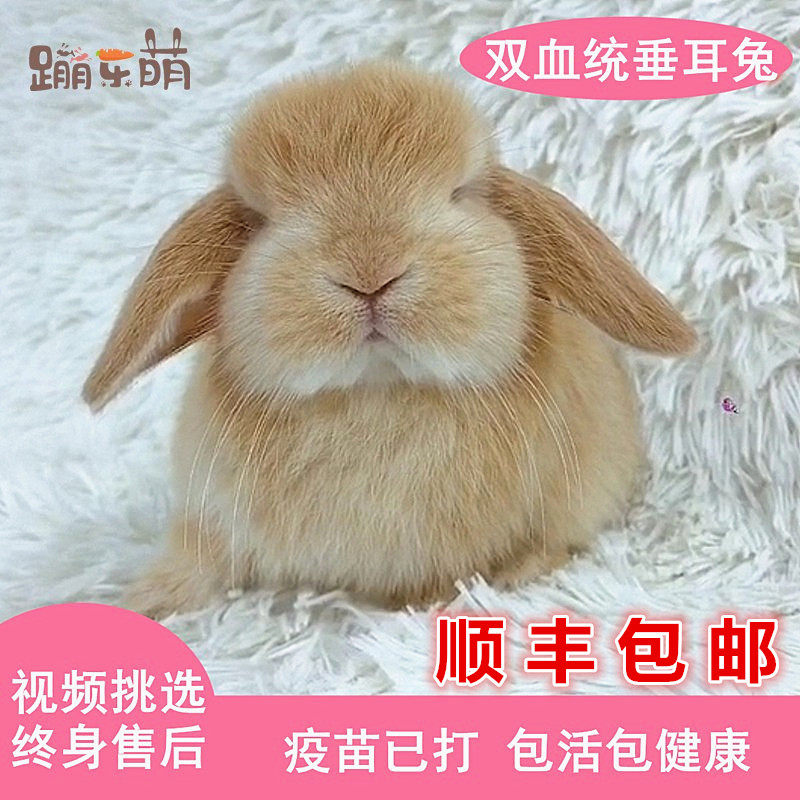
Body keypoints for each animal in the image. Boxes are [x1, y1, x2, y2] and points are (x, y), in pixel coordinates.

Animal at [83, 62, 695, 618]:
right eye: (259, 220)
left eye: (461, 193)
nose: (370, 272)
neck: (377, 392)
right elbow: (195, 561)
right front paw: (145, 600)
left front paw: (439, 598)